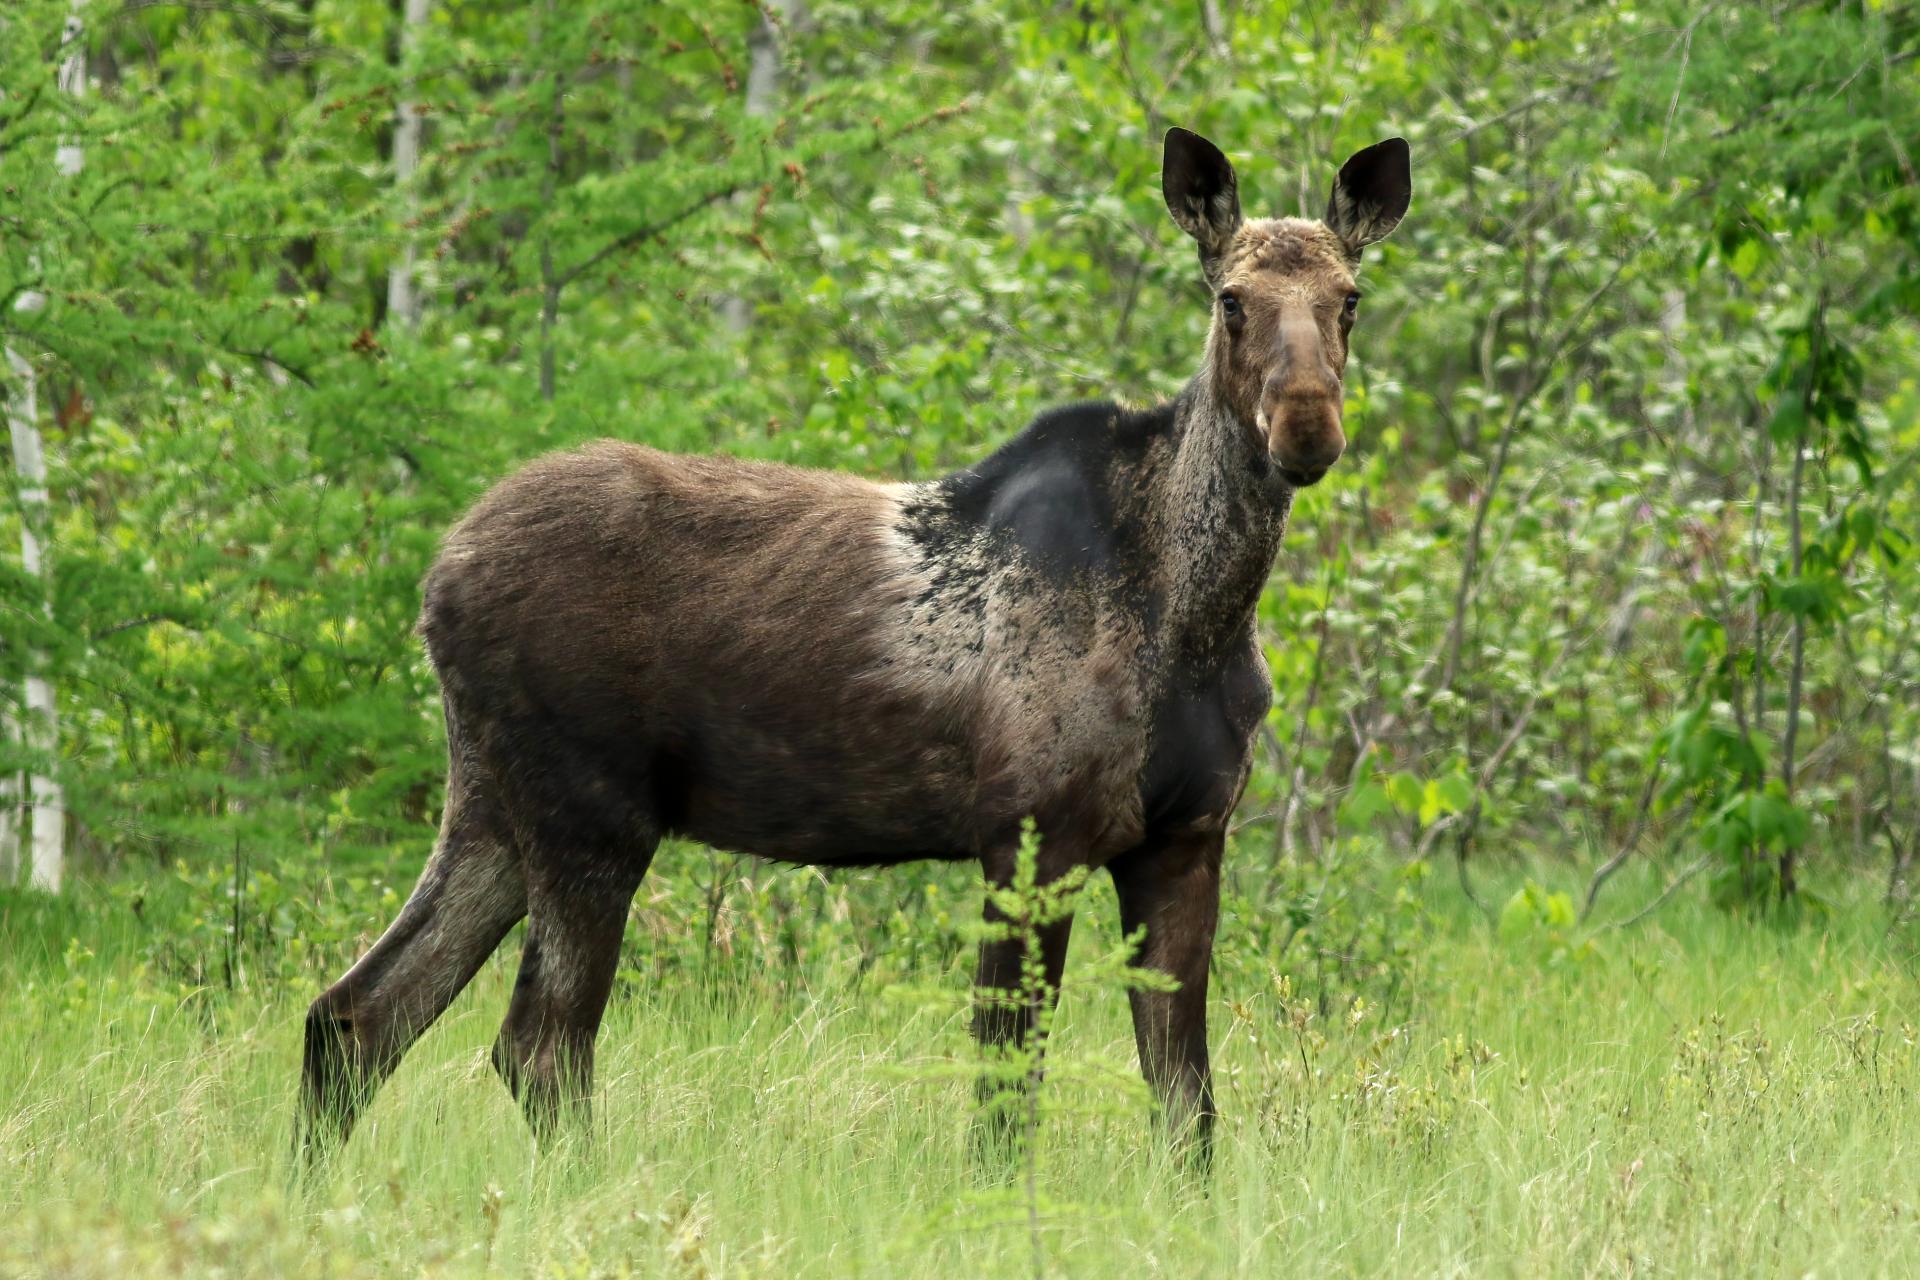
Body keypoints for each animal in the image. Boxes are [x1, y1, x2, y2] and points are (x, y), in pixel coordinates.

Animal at [299, 127, 1411, 1163]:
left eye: (1350, 299)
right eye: (1230, 300)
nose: (1307, 425)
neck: (1197, 613)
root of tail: (436, 582)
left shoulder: (1183, 838)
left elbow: (1187, 1103)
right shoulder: (1030, 833)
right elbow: (1006, 1087)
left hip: (494, 802)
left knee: (357, 1013)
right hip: (591, 809)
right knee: (533, 1043)